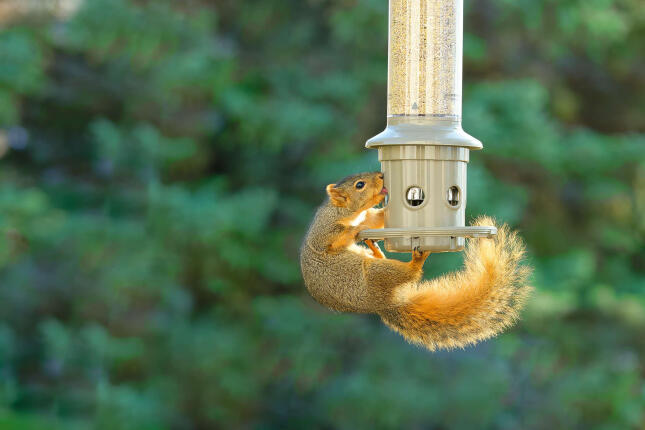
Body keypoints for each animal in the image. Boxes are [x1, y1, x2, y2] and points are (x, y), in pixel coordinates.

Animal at [300, 171, 532, 351]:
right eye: (359, 185)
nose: (381, 175)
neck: (347, 212)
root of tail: (387, 303)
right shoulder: (324, 233)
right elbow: (339, 236)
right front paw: (356, 229)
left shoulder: (368, 217)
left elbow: (376, 219)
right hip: (377, 274)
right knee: (411, 273)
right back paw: (416, 259)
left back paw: (375, 247)